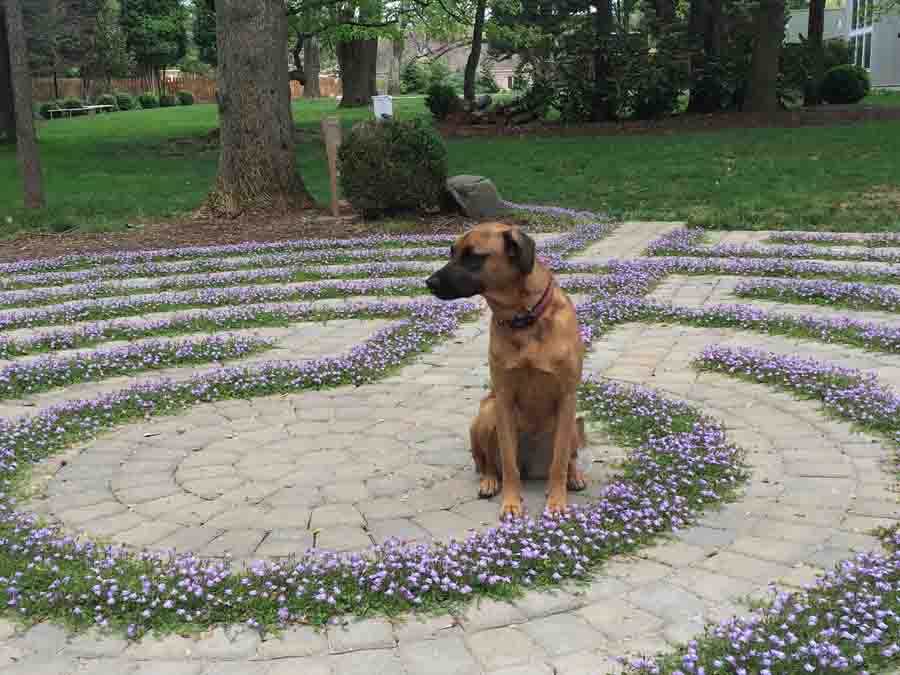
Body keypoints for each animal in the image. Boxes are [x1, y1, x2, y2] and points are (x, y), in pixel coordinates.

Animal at [426, 223, 588, 516]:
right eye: (452, 252)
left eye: (473, 256)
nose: (429, 283)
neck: (524, 319)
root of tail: (532, 468)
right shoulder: (503, 397)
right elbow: (509, 463)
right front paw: (512, 502)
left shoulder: (567, 396)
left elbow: (558, 462)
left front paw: (556, 500)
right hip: (487, 413)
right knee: (488, 463)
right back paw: (490, 481)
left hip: (571, 423)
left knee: (567, 457)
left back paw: (573, 475)